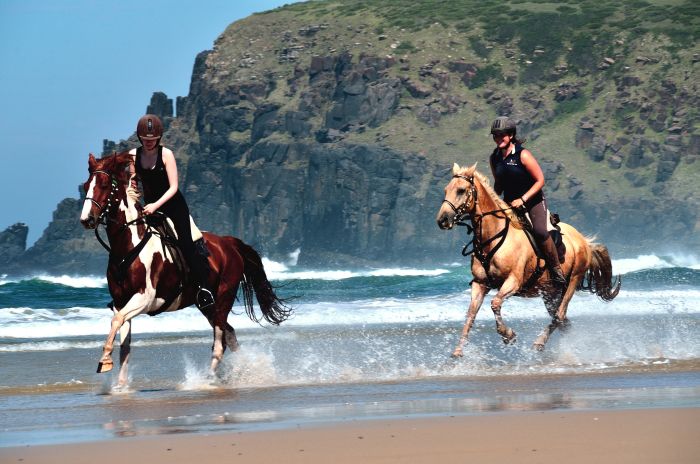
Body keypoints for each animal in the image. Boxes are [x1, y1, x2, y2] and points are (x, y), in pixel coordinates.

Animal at [80, 151, 290, 384]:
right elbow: (124, 344)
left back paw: (208, 380)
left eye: (105, 185)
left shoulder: (145, 298)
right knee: (230, 335)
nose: (86, 219)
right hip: (206, 305)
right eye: (86, 185)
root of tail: (228, 243)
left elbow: (116, 322)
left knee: (220, 343)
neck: (129, 247)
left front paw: (104, 360)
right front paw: (120, 385)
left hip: (223, 298)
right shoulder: (120, 302)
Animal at [438, 163, 616, 356]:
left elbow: (495, 303)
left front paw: (508, 335)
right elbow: (471, 314)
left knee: (559, 315)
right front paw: (458, 351)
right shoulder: (480, 283)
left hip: (573, 280)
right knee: (561, 319)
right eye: (446, 190)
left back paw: (539, 342)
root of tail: (583, 240)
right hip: (550, 292)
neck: (492, 237)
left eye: (461, 190)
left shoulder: (513, 282)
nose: (442, 220)